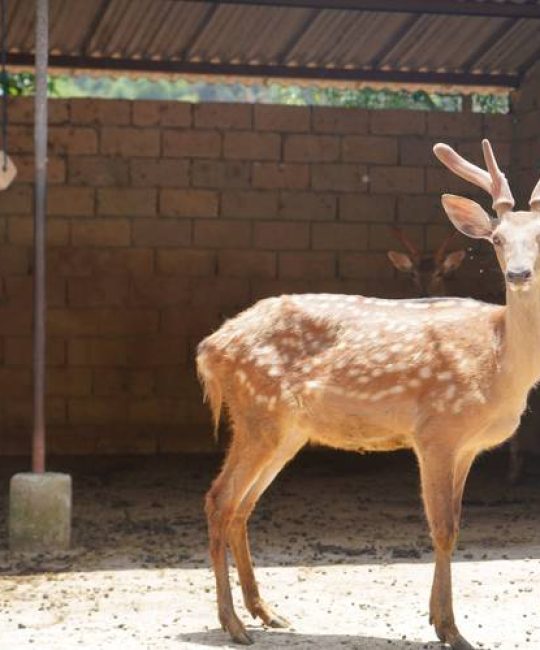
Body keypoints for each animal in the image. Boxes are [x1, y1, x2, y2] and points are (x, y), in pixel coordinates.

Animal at [197, 139, 540, 650]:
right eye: (496, 240)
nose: (519, 274)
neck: (500, 364)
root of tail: (209, 348)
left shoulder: (469, 446)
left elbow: (457, 525)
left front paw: (439, 620)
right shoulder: (436, 430)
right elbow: (443, 528)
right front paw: (451, 629)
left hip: (285, 431)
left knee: (243, 505)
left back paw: (267, 612)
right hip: (259, 414)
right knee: (220, 499)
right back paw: (233, 624)